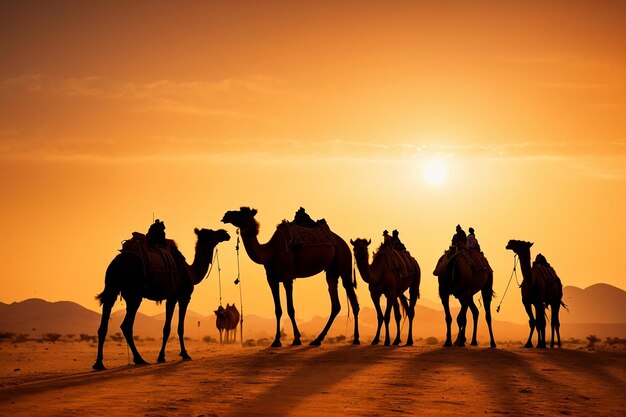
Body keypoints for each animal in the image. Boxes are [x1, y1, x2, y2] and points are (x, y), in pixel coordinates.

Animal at [92, 226, 229, 368]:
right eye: (212, 233)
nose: (225, 233)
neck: (191, 273)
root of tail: (117, 263)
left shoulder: (171, 297)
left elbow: (169, 328)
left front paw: (165, 356)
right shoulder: (180, 297)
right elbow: (175, 328)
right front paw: (180, 354)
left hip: (112, 289)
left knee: (105, 325)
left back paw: (99, 363)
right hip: (134, 294)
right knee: (126, 325)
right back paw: (139, 359)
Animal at [221, 206, 358, 346]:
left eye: (242, 213)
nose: (226, 215)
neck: (271, 251)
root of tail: (344, 243)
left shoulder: (287, 277)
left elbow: (290, 309)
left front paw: (296, 339)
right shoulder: (272, 280)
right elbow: (278, 310)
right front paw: (276, 341)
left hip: (344, 263)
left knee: (353, 299)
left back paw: (356, 339)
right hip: (331, 271)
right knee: (335, 304)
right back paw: (317, 340)